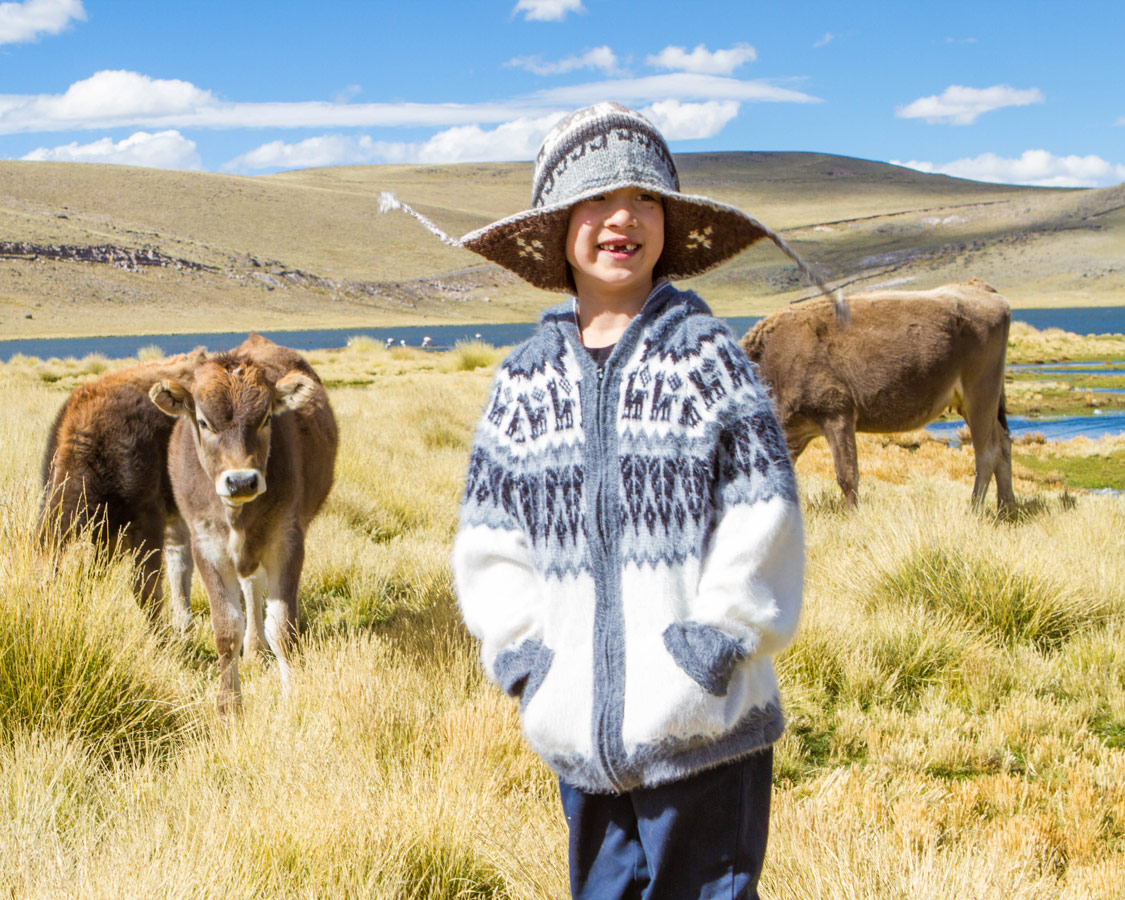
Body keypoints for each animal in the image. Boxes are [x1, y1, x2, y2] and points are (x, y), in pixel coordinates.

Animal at [151, 333, 339, 711]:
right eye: (203, 422)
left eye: (265, 418)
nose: (241, 482)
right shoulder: (206, 546)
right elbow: (226, 629)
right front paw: (229, 706)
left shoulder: (287, 542)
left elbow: (283, 628)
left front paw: (292, 698)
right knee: (250, 588)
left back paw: (255, 647)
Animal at [742, 277, 1017, 510]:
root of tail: (980, 287)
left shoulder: (837, 415)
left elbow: (847, 475)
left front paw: (854, 516)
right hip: (979, 404)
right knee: (1003, 445)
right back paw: (1007, 509)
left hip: (980, 396)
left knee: (987, 453)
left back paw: (974, 510)